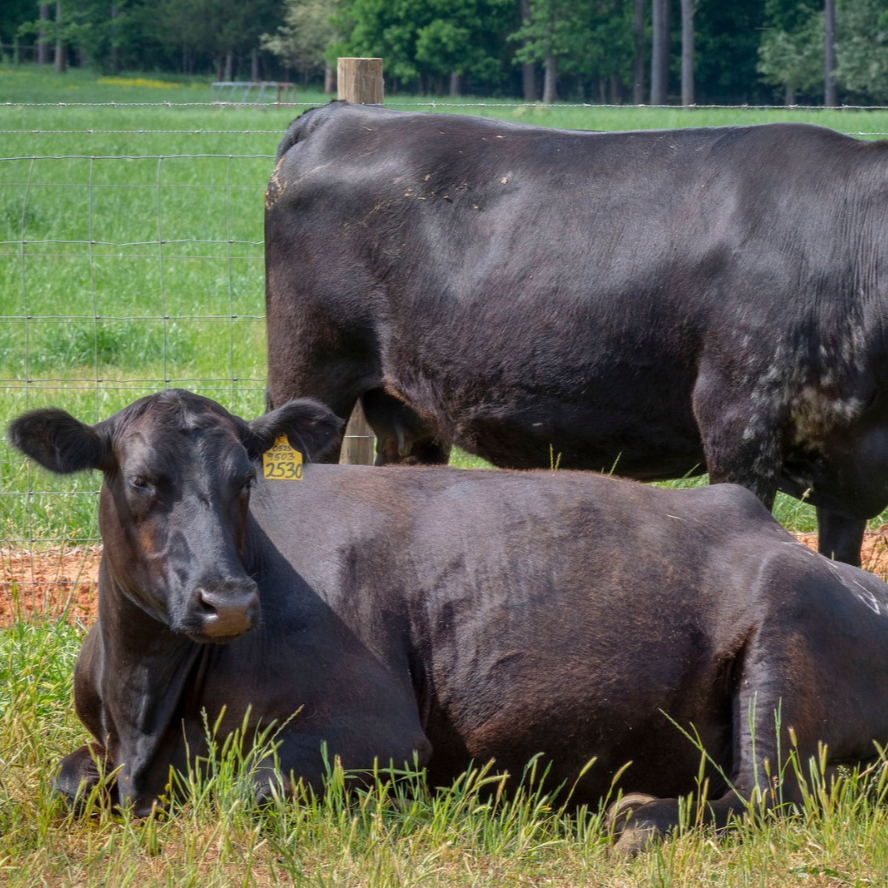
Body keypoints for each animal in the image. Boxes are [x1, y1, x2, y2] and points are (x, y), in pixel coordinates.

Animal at [10, 388, 888, 854]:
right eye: (142, 480)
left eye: (246, 479)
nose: (228, 601)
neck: (146, 700)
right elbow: (66, 782)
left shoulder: (380, 730)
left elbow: (248, 790)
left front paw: (412, 806)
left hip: (786, 638)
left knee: (767, 796)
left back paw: (638, 814)